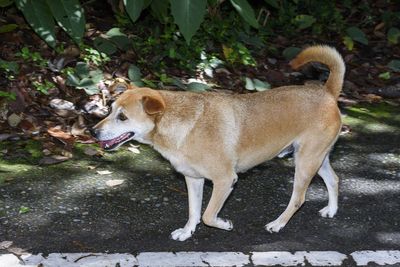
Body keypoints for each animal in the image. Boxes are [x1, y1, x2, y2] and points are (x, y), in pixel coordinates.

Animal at [90, 45, 344, 243]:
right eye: (110, 109)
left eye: (123, 117)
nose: (93, 131)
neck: (183, 125)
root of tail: (327, 92)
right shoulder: (193, 179)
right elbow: (194, 211)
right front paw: (187, 232)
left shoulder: (225, 180)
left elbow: (208, 215)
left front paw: (224, 223)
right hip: (316, 159)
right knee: (334, 179)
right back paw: (332, 210)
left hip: (305, 162)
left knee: (299, 199)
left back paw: (278, 223)